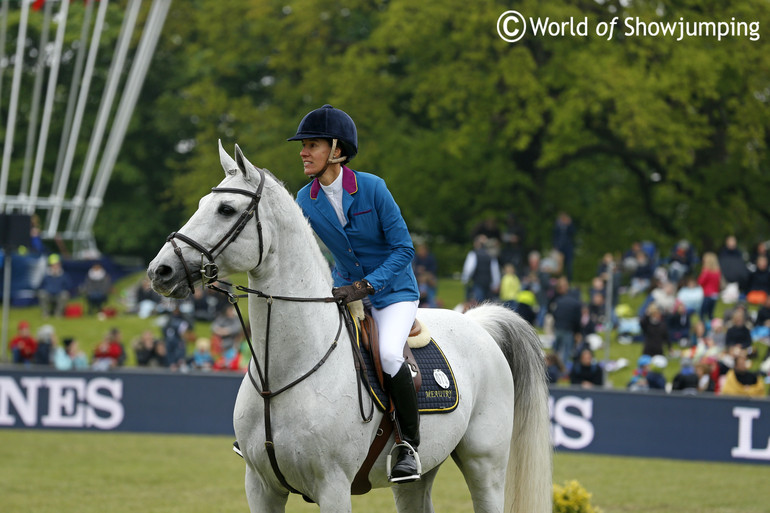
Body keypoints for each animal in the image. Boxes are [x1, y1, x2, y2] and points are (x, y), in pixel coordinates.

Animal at [147, 142, 548, 512]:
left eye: (226, 209)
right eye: (203, 203)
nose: (160, 271)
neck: (282, 375)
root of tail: (476, 322)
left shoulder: (333, 487)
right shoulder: (260, 487)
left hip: (485, 465)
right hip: (419, 476)